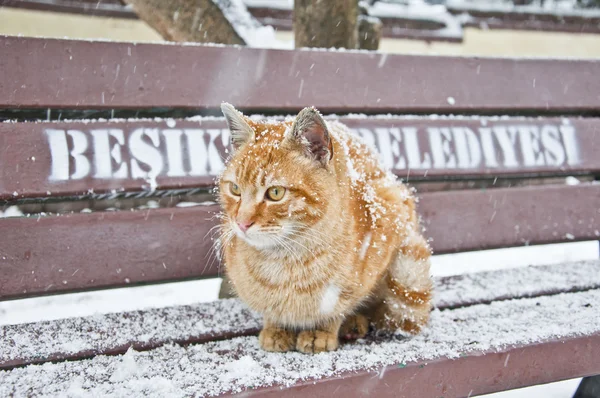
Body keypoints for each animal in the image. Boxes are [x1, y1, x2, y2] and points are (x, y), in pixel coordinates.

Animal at [218, 103, 434, 354]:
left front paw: (320, 332)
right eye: (235, 189)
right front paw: (276, 328)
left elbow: (337, 308)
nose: (241, 223)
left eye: (275, 193)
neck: (286, 262)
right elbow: (272, 311)